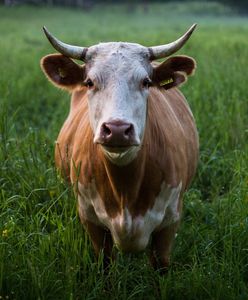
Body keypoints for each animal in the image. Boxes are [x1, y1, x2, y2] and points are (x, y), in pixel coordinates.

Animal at [41, 24, 200, 270]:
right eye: (89, 82)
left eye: (146, 82)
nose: (117, 129)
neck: (126, 190)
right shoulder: (91, 221)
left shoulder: (170, 222)